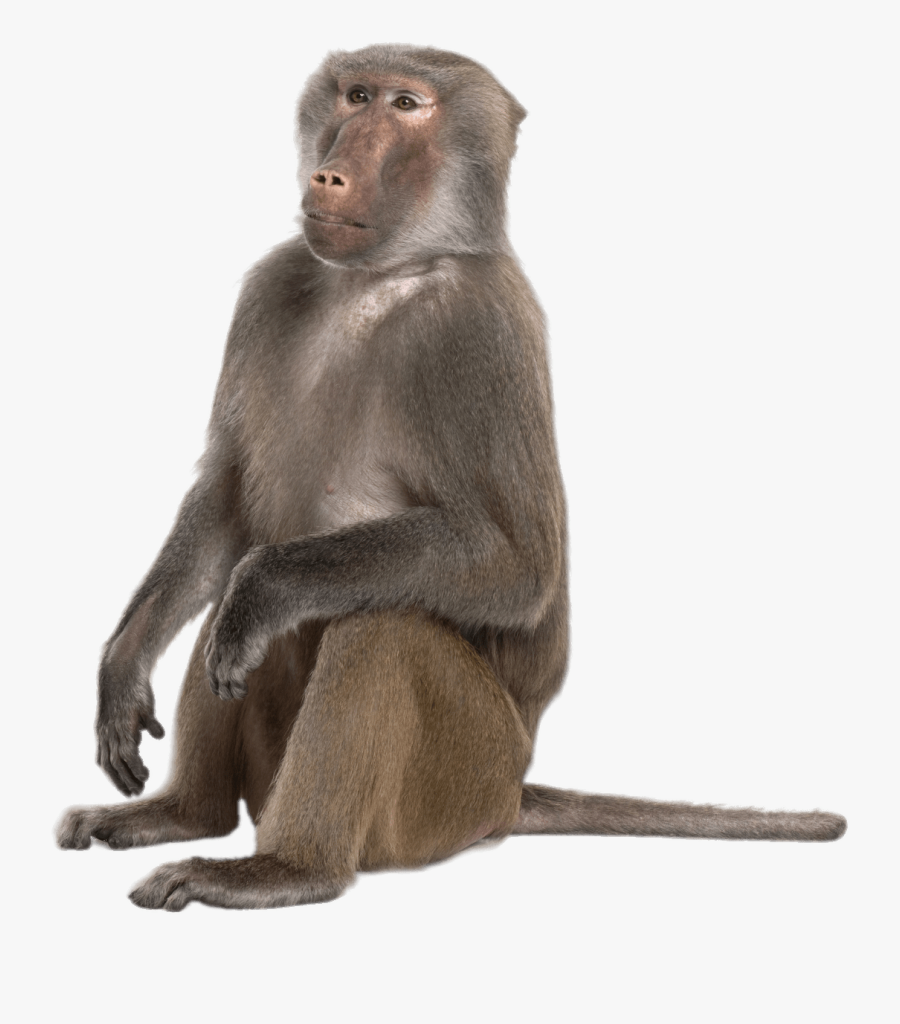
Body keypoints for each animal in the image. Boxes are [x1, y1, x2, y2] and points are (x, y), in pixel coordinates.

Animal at [57, 44, 846, 912]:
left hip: (454, 785)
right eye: (356, 95)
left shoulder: (478, 330)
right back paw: (185, 816)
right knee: (233, 610)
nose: (331, 174)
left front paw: (267, 586)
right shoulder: (270, 286)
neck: (381, 275)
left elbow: (516, 565)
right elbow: (228, 502)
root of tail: (510, 791)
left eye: (407, 105)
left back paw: (286, 869)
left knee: (380, 625)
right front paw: (123, 668)